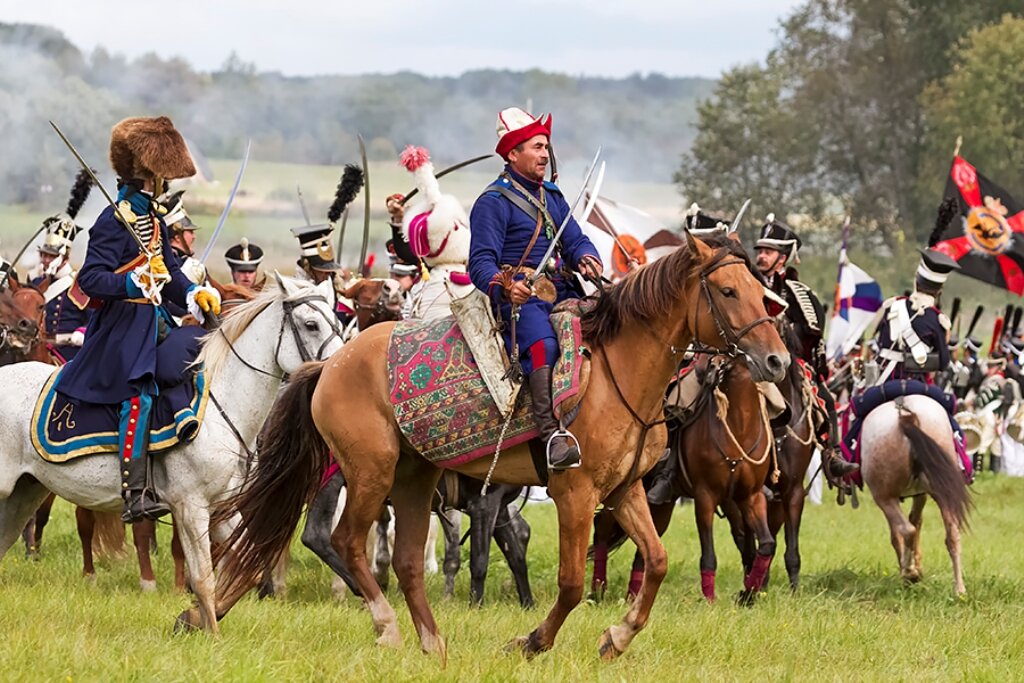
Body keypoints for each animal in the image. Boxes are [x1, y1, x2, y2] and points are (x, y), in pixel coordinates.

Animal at [0, 272, 344, 634]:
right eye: (310, 324)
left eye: (337, 323)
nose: (339, 371)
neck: (221, 404)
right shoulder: (191, 508)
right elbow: (204, 578)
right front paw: (211, 634)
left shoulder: (222, 507)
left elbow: (244, 565)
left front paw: (193, 618)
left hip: (24, 493)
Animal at [589, 352, 778, 602]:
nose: (713, 368)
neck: (740, 424)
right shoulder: (705, 497)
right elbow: (709, 555)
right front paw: (710, 599)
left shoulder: (750, 496)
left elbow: (766, 544)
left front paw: (748, 593)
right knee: (602, 527)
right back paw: (597, 590)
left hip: (662, 504)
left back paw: (633, 594)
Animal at [860, 395, 970, 598]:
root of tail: (906, 416)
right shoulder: (921, 494)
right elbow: (917, 521)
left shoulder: (893, 498)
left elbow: (899, 534)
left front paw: (911, 570)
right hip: (943, 492)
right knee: (952, 535)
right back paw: (959, 589)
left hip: (883, 497)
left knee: (906, 530)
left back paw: (908, 572)